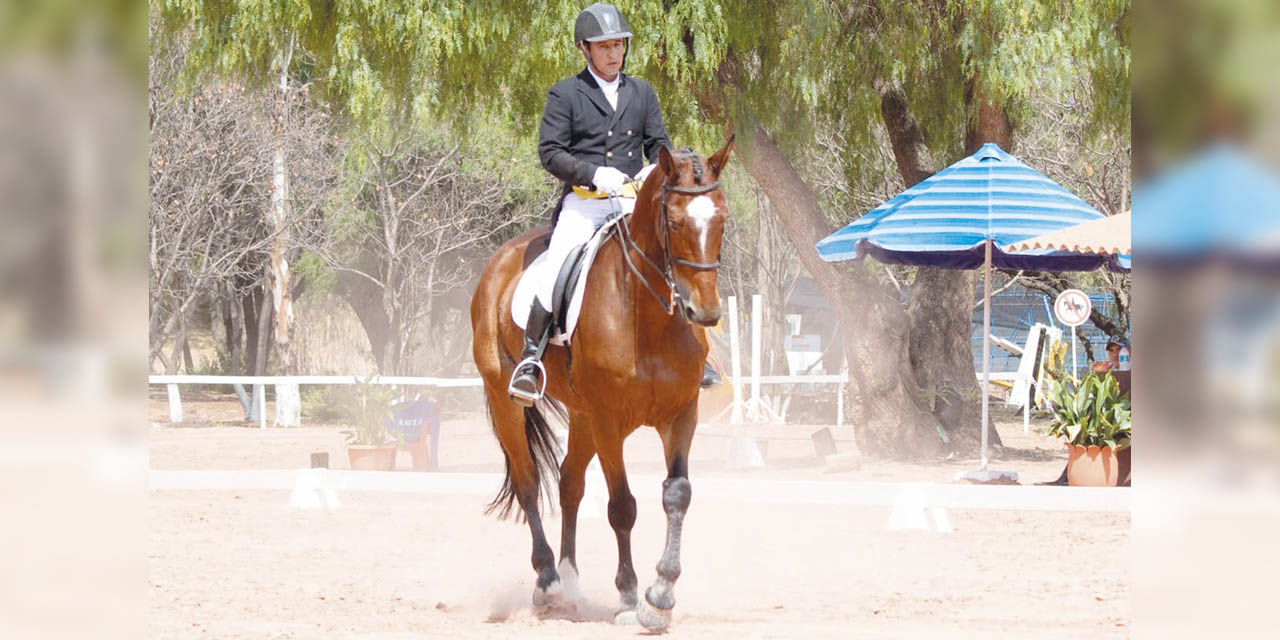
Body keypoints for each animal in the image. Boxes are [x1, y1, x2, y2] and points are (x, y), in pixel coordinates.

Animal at [471, 136, 737, 629]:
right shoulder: (610, 420)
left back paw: (571, 581)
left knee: (569, 483)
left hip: (581, 414)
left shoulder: (680, 415)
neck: (648, 319)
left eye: (722, 218)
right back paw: (547, 582)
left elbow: (677, 494)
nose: (705, 313)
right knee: (529, 481)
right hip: (507, 400)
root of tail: (501, 260)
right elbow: (622, 506)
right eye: (674, 221)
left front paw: (661, 595)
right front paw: (630, 598)